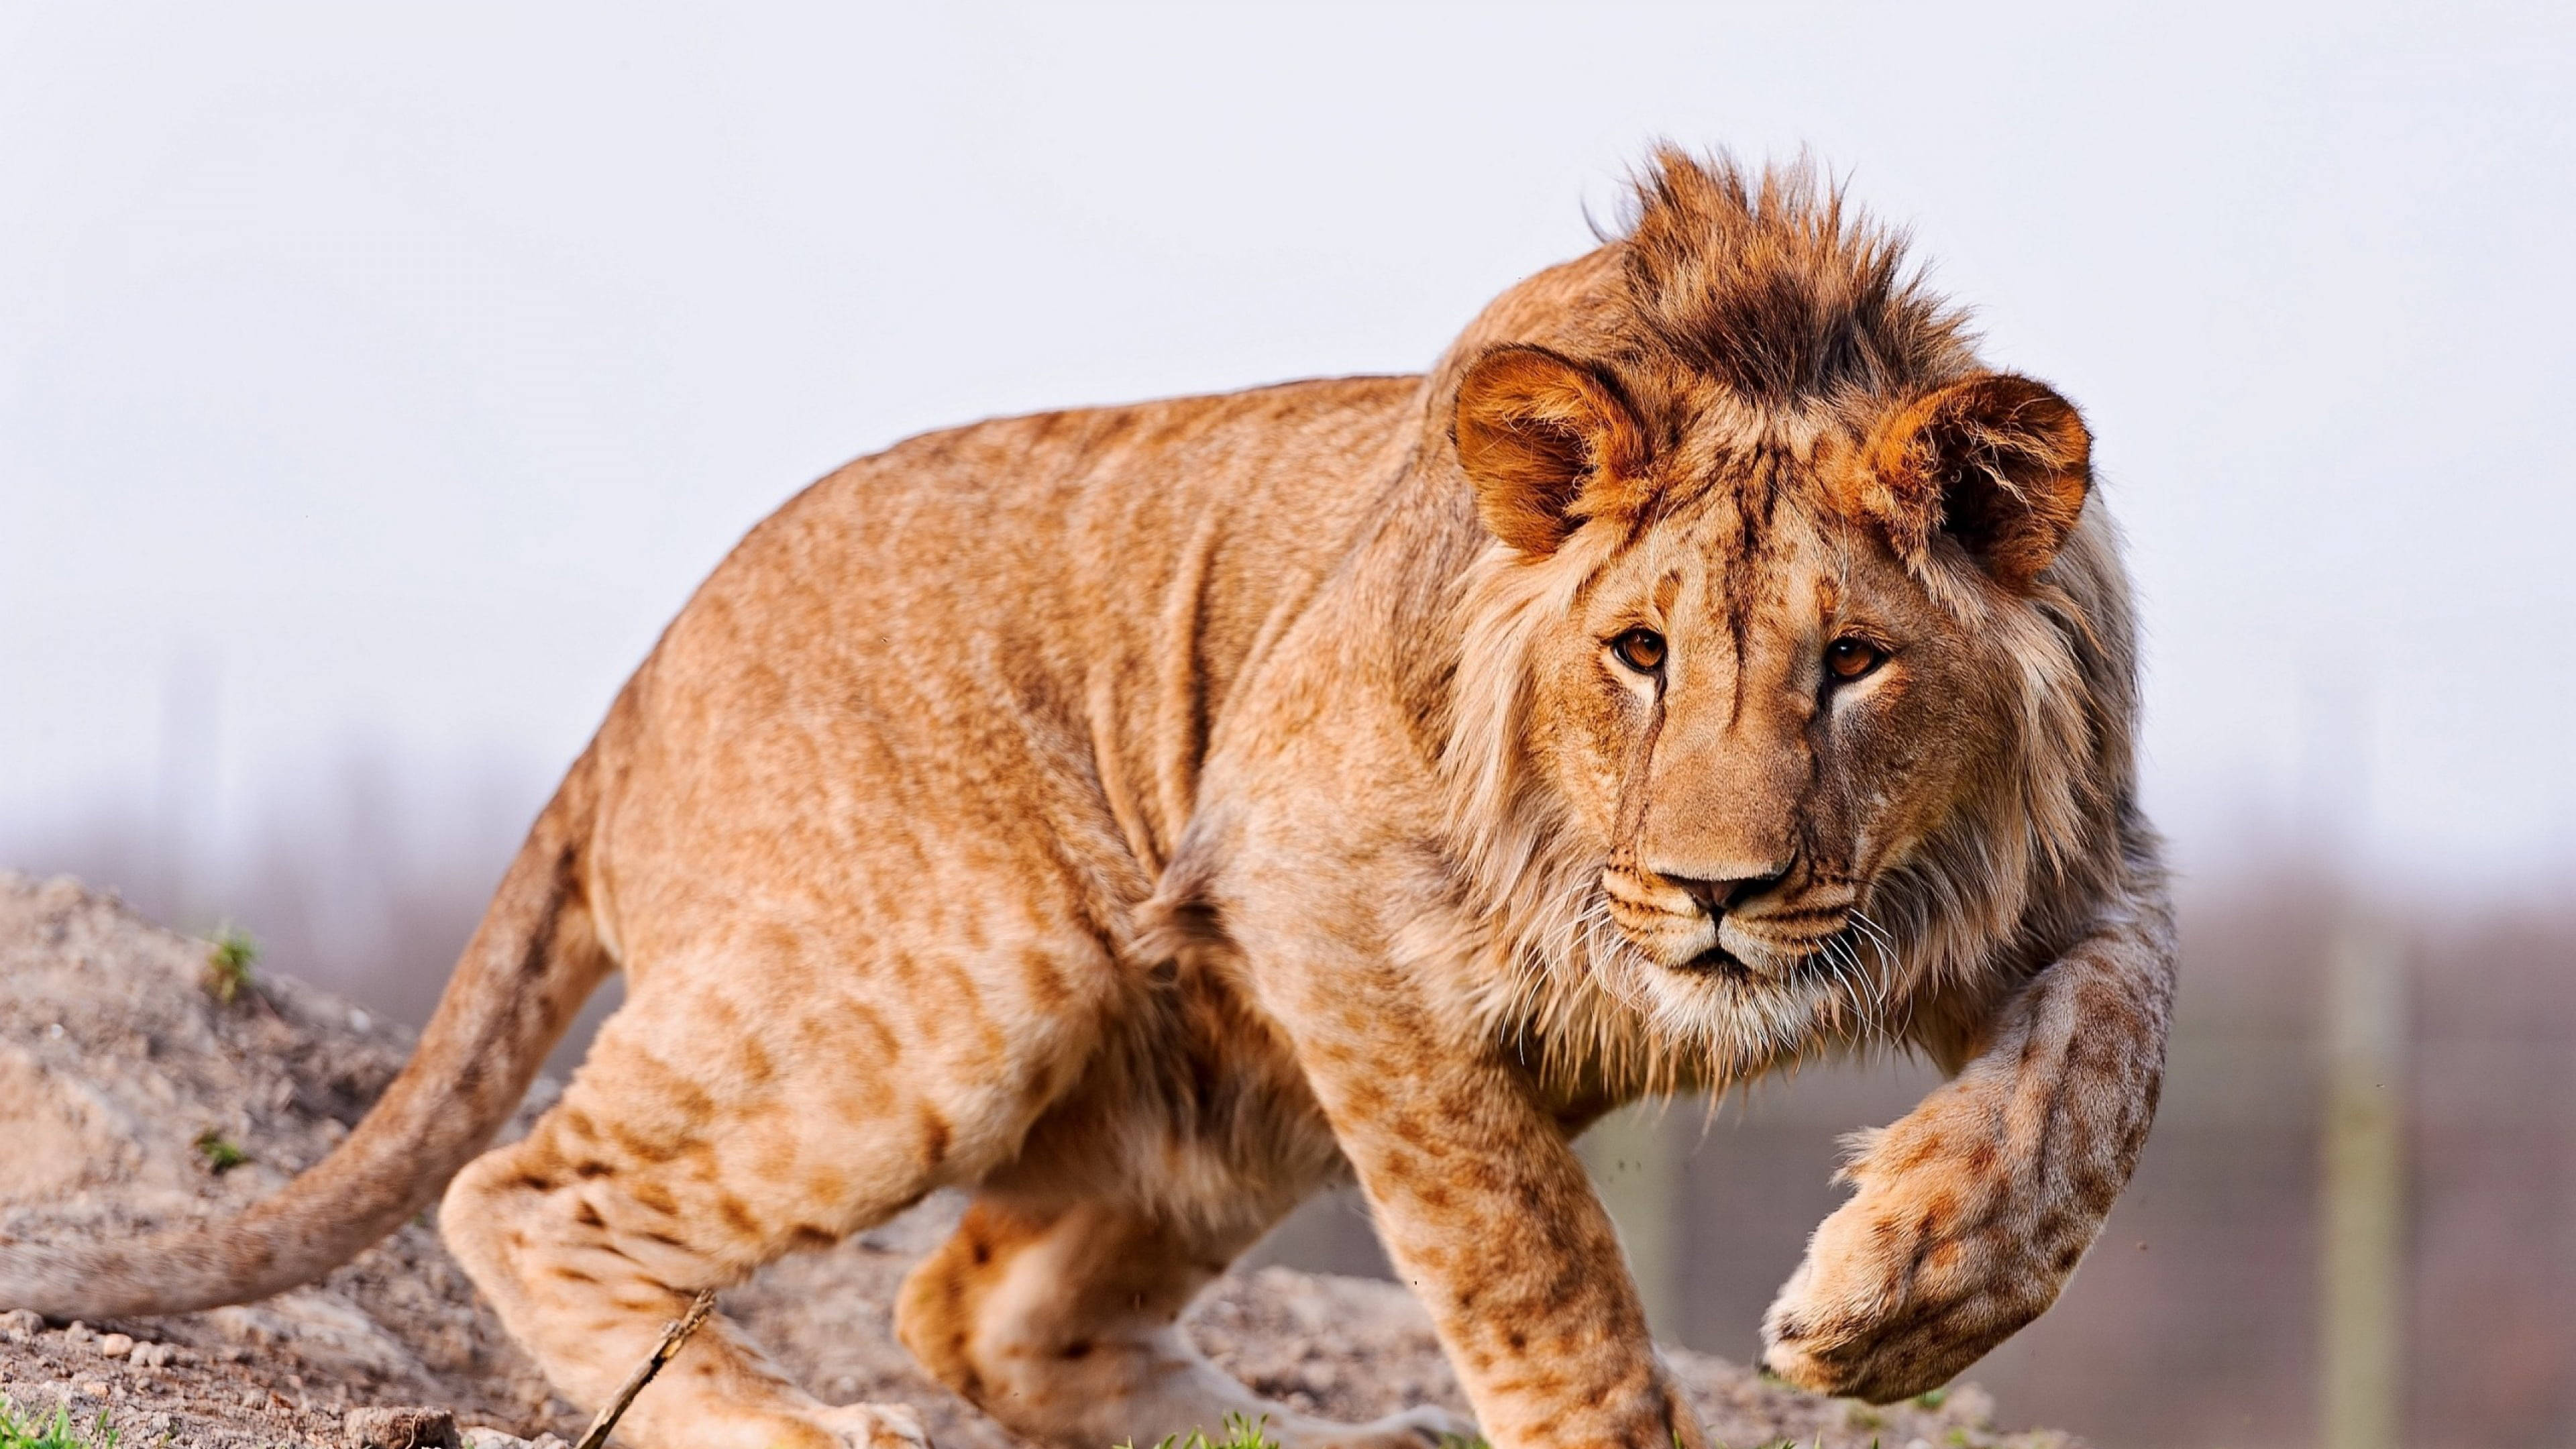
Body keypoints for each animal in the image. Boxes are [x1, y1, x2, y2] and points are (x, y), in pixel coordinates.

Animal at [2, 151, 2172, 1449]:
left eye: (1851, 662)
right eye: (1637, 652)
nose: (1716, 891)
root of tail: (638, 686)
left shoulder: (2073, 871)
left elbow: (2098, 1078)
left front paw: (1901, 1298)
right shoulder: (1321, 895)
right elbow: (1531, 1254)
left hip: (1217, 1093)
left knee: (981, 1312)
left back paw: (1294, 1439)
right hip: (969, 986)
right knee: (531, 1191)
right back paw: (794, 1429)